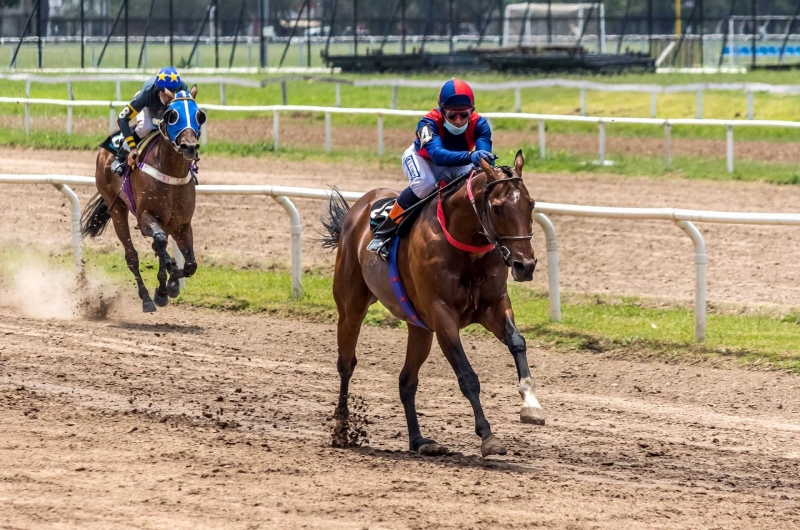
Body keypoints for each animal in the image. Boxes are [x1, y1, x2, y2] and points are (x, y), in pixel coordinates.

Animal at [80, 84, 206, 312]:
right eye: (173, 115)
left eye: (199, 115)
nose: (189, 147)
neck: (170, 171)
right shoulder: (145, 216)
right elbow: (161, 243)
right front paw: (163, 288)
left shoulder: (182, 223)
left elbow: (190, 264)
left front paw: (171, 284)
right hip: (116, 207)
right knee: (132, 255)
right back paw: (146, 297)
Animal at [322, 151, 548, 456]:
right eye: (498, 207)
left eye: (531, 204)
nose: (525, 265)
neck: (466, 244)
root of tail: (360, 206)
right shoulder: (442, 317)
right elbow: (468, 377)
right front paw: (487, 436)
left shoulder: (493, 307)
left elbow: (517, 342)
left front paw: (531, 405)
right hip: (351, 307)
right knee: (346, 364)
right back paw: (342, 430)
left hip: (419, 327)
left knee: (406, 381)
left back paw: (419, 441)